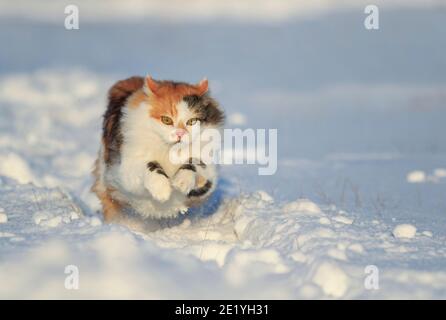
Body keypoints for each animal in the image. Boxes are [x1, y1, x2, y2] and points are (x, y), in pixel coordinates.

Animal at [91, 74, 223, 222]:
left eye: (192, 121)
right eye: (166, 120)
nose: (180, 134)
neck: (169, 151)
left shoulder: (209, 172)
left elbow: (194, 164)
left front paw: (182, 182)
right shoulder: (125, 169)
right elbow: (150, 165)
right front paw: (162, 191)